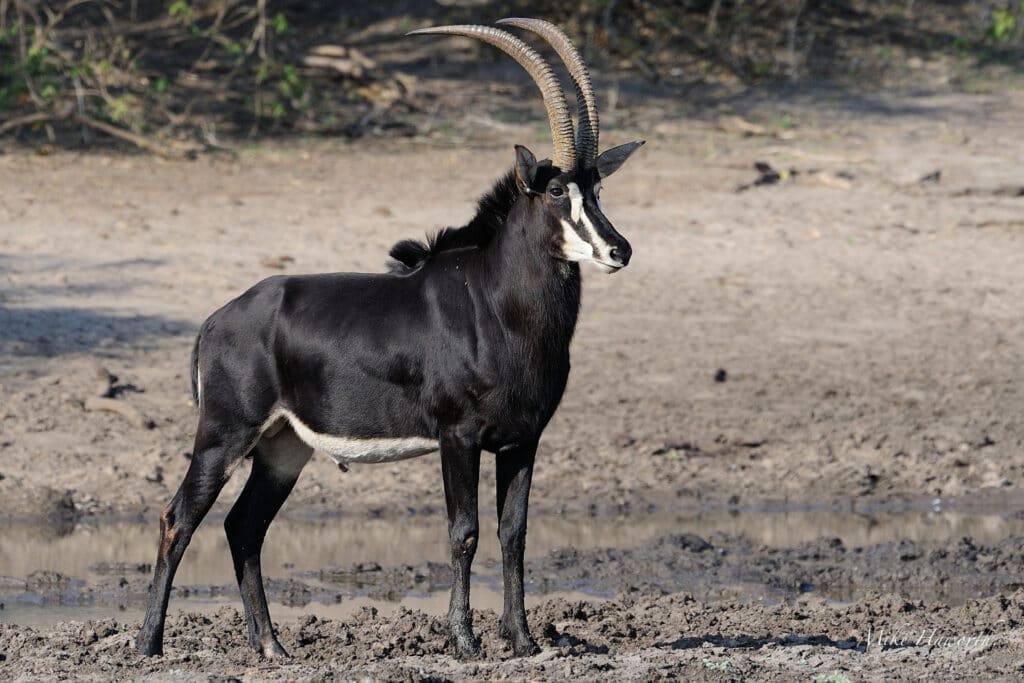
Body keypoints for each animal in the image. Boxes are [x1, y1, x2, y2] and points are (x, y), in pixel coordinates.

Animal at [136, 18, 643, 659]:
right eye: (557, 193)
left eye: (598, 189)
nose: (619, 250)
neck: (495, 303)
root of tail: (214, 320)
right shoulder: (458, 436)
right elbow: (464, 532)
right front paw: (465, 642)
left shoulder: (522, 440)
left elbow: (514, 533)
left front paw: (523, 640)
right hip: (225, 434)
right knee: (178, 518)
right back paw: (149, 646)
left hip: (282, 447)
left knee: (243, 527)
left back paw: (271, 647)